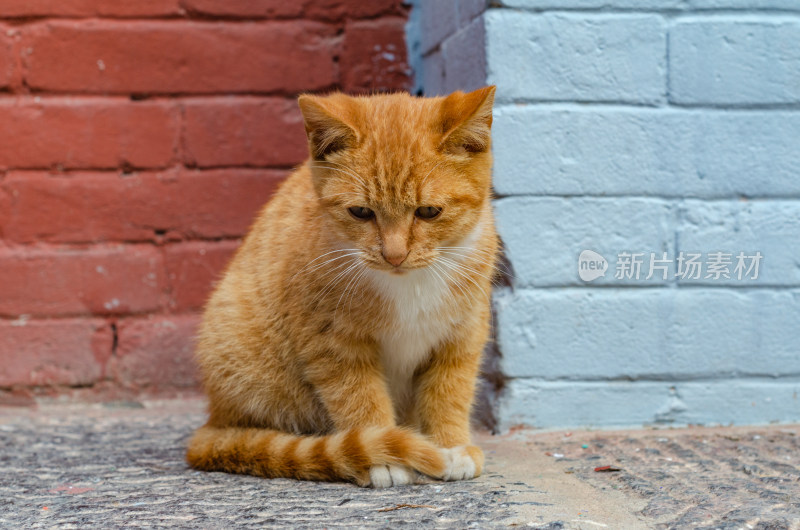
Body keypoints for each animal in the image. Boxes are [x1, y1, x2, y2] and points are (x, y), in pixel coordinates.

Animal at [188, 86, 500, 486]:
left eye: (429, 212)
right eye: (361, 212)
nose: (394, 255)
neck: (409, 285)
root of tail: (213, 420)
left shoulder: (461, 335)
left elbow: (450, 393)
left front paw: (450, 446)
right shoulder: (332, 342)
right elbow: (358, 396)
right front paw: (383, 454)